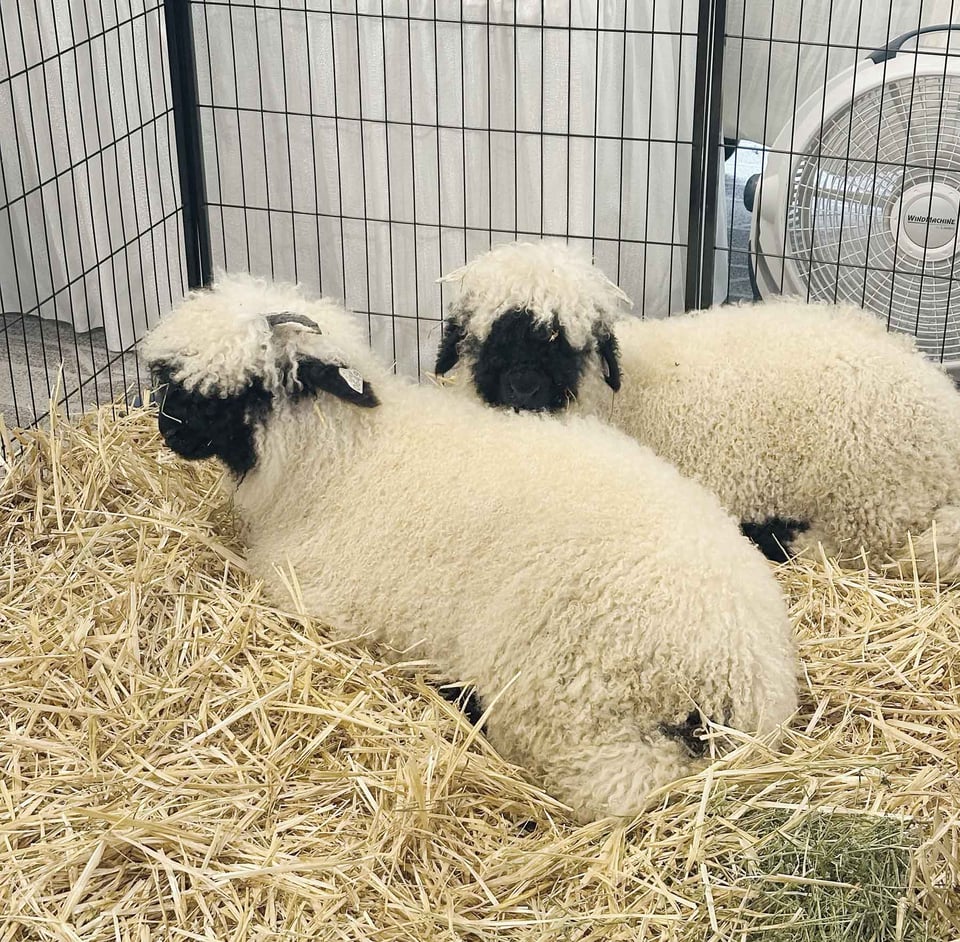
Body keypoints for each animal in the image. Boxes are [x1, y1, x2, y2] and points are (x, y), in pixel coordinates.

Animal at [140, 272, 798, 824]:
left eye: (251, 388)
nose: (169, 430)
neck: (339, 459)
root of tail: (741, 669)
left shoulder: (317, 597)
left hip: (569, 703)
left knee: (618, 789)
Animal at [434, 239, 960, 581]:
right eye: (488, 336)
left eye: (564, 342)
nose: (523, 388)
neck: (611, 399)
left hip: (866, 501)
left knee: (850, 550)